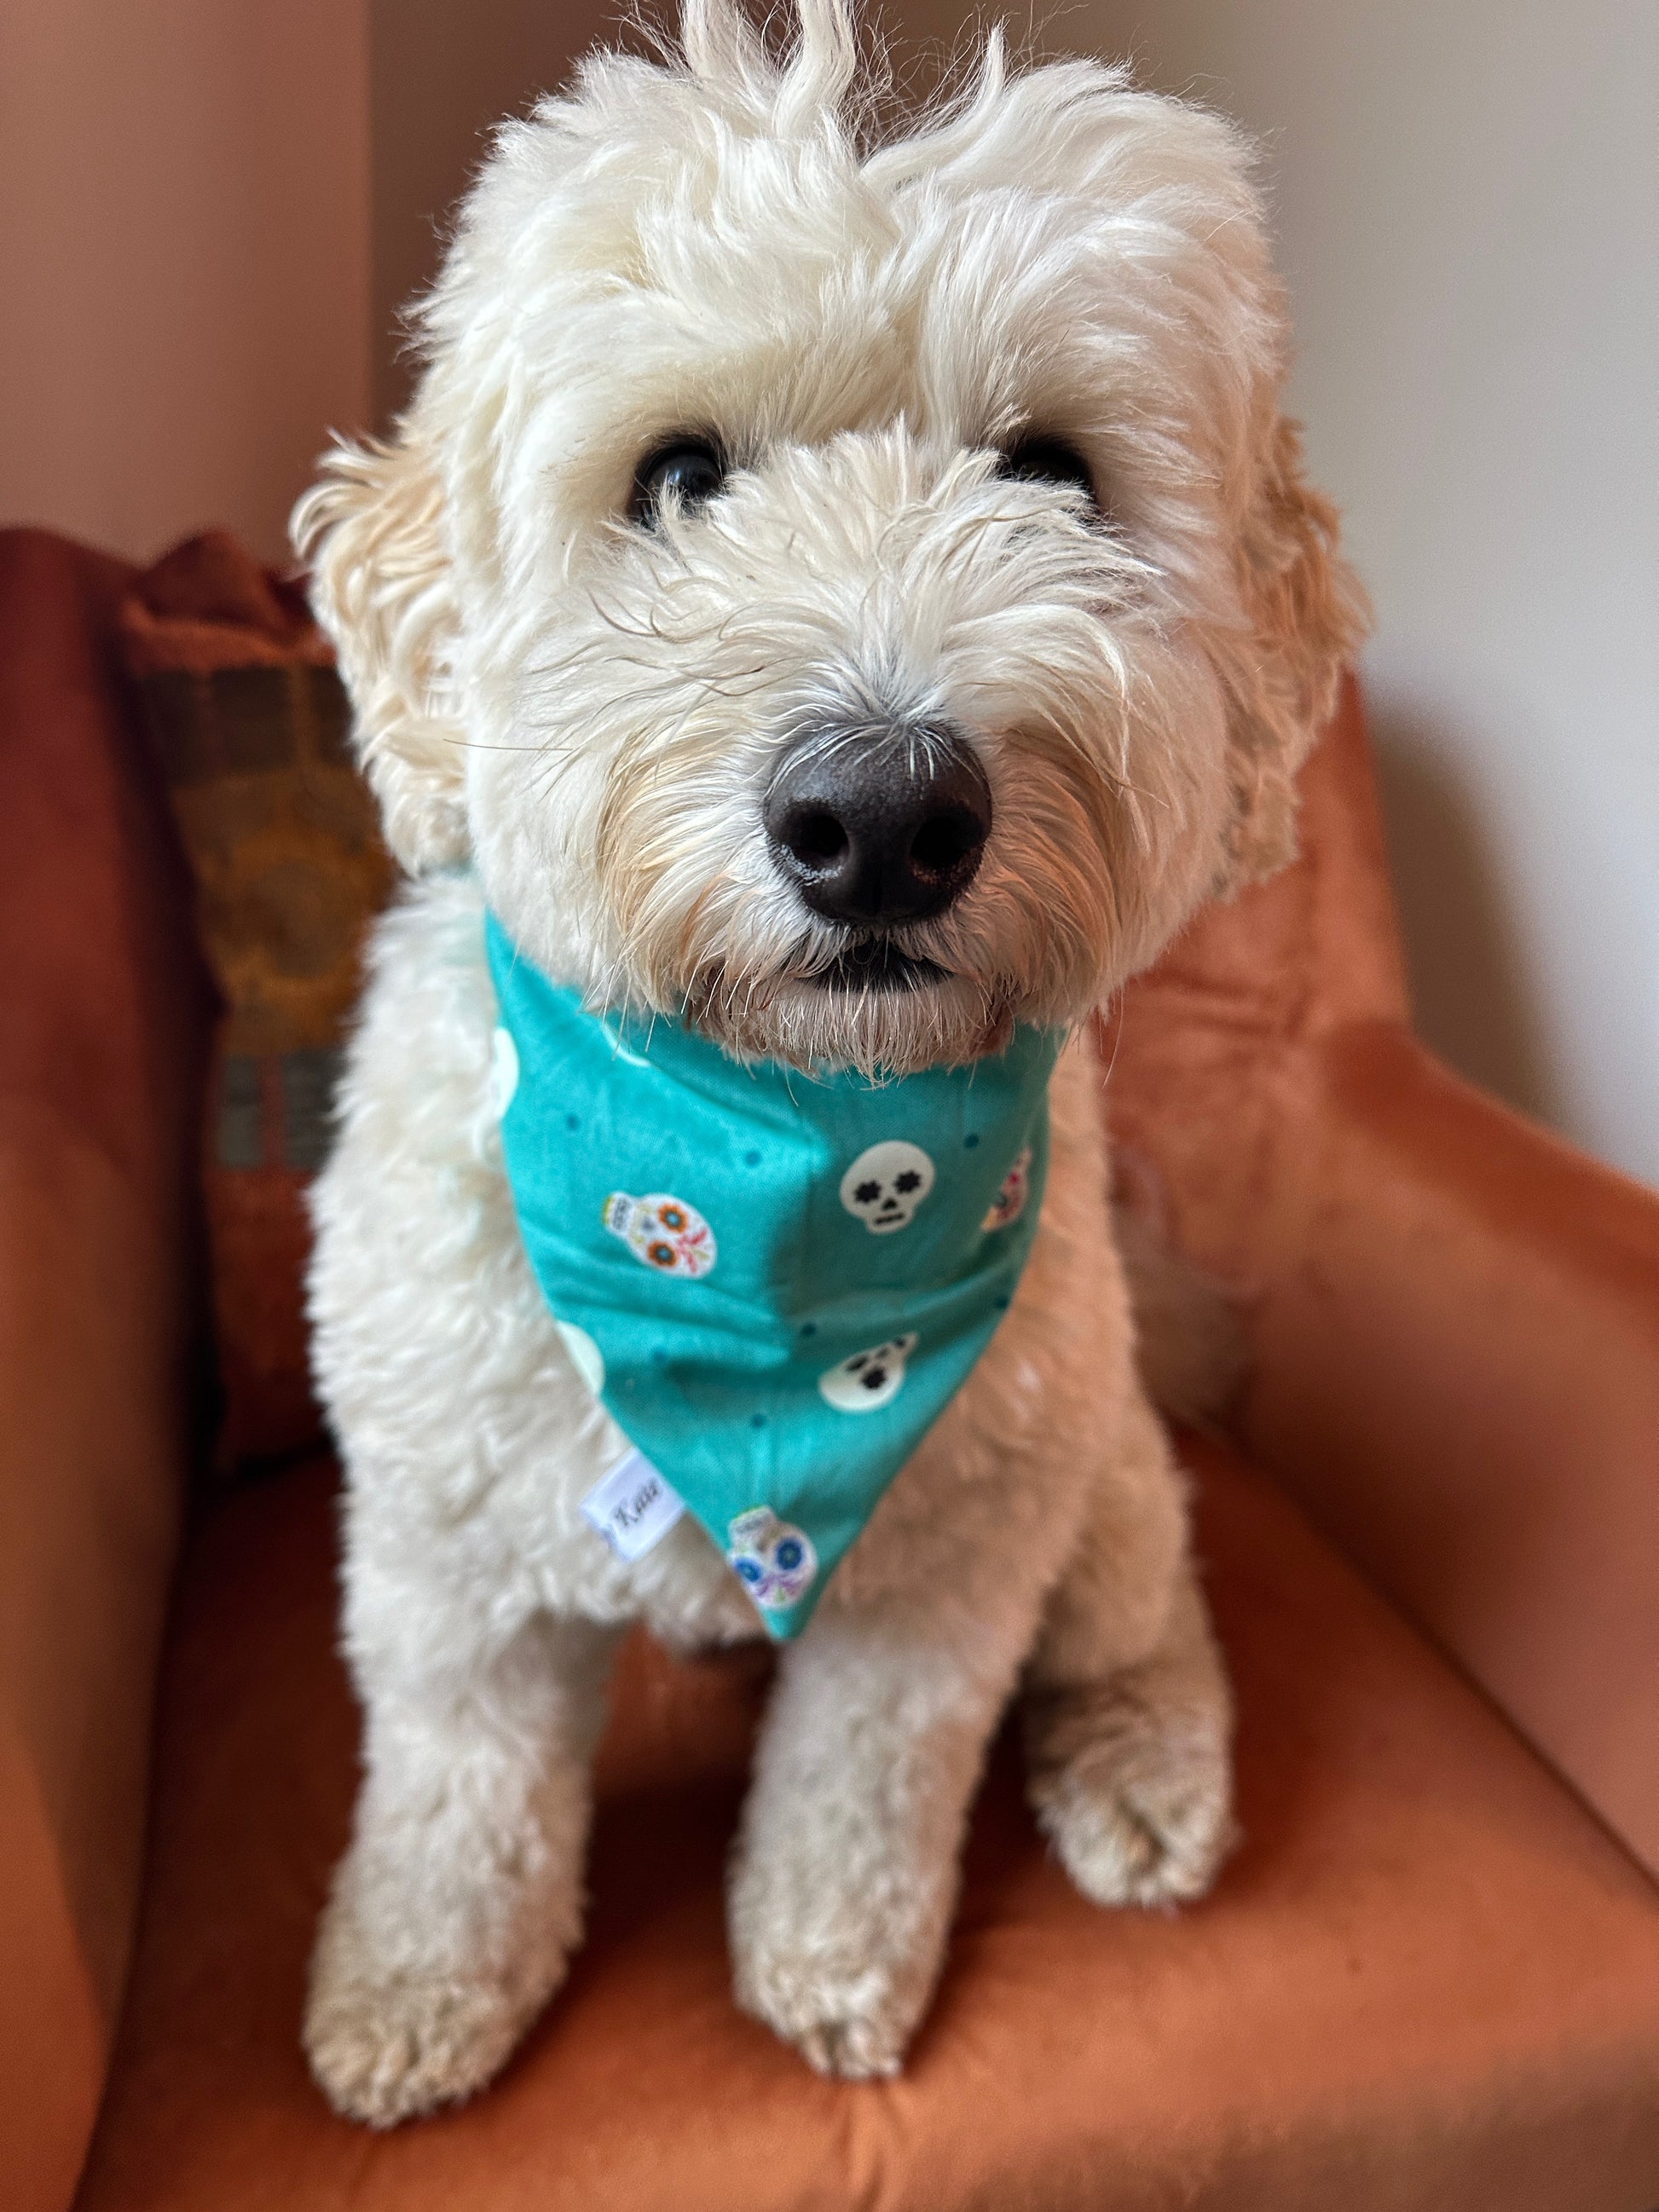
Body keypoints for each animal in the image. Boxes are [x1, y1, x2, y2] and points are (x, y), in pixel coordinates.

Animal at [296, 0, 1362, 2123]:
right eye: (677, 473)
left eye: (1052, 470)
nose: (880, 817)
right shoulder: (445, 1561)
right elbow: (458, 1797)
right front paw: (420, 1985)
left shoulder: (947, 1575)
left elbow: (863, 1792)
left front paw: (829, 1965)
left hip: (1094, 1468)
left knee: (1151, 1604)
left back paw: (1144, 1766)